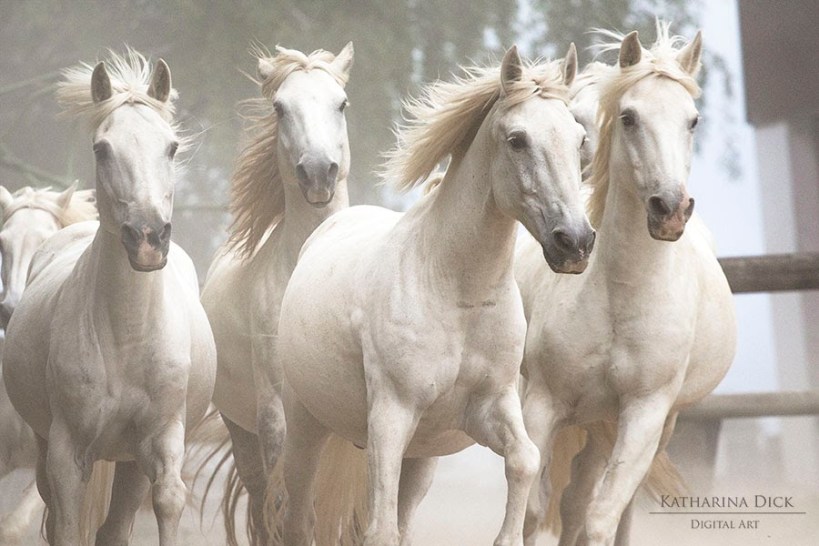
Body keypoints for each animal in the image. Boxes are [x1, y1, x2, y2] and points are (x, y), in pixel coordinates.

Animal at [199, 42, 354, 545]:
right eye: (280, 107)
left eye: (341, 103)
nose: (318, 173)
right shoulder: (277, 413)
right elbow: (290, 510)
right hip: (241, 429)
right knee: (262, 496)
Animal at [276, 44, 594, 546]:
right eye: (517, 140)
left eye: (579, 138)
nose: (575, 243)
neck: (458, 292)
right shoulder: (391, 419)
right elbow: (380, 530)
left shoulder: (491, 405)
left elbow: (525, 460)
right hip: (306, 429)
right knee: (298, 518)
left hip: (422, 458)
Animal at [515, 24, 736, 546]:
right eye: (630, 117)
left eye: (693, 120)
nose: (670, 209)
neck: (618, 292)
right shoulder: (543, 404)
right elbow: (533, 508)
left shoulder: (644, 415)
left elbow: (599, 517)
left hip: (634, 425)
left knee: (586, 504)